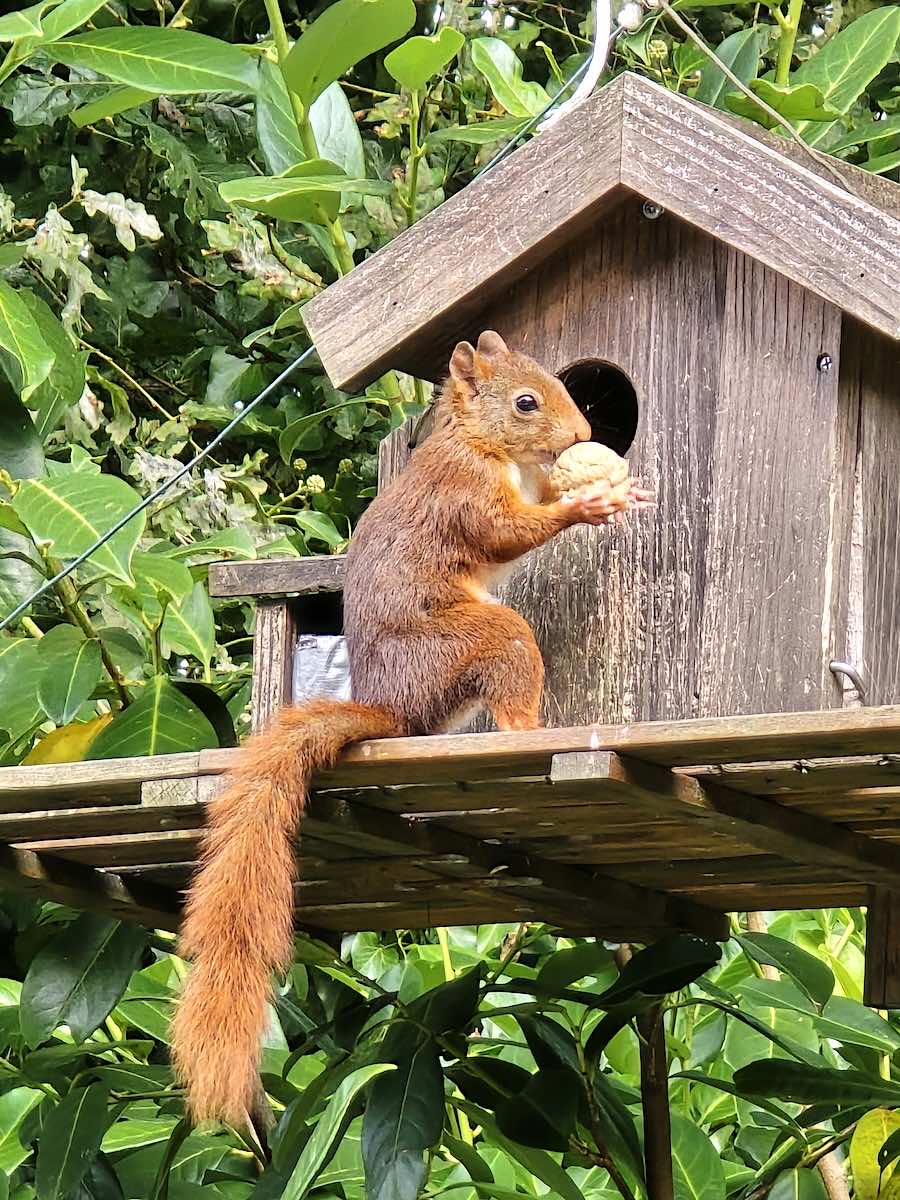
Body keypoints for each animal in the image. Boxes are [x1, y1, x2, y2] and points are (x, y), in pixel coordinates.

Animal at [171, 330, 652, 1129]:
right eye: (527, 402)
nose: (585, 434)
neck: (480, 444)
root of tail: (393, 708)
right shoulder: (463, 492)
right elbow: (507, 530)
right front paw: (592, 501)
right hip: (483, 641)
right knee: (510, 688)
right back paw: (532, 728)